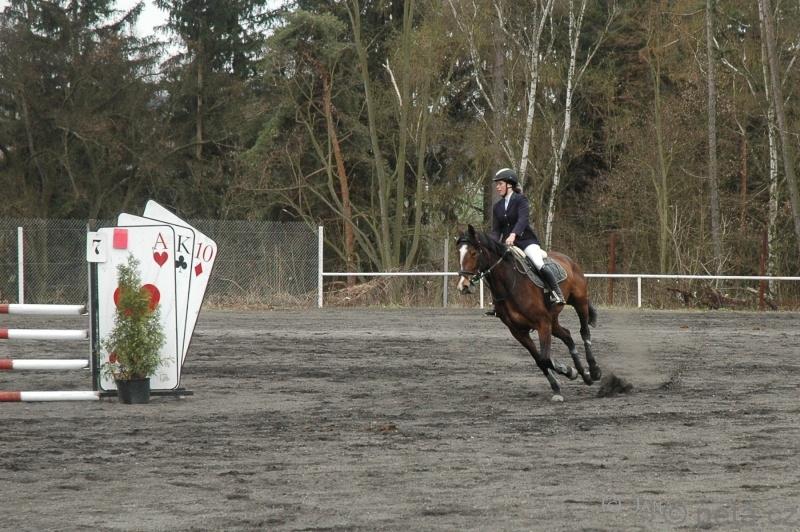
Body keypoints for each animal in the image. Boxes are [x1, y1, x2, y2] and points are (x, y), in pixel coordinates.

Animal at [456, 224, 601, 402]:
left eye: (474, 253)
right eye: (459, 253)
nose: (463, 286)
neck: (510, 285)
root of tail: (568, 259)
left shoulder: (542, 324)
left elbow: (545, 358)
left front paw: (568, 371)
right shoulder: (519, 332)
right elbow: (540, 360)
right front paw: (560, 384)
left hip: (579, 302)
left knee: (584, 332)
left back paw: (594, 371)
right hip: (553, 320)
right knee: (567, 336)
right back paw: (584, 375)